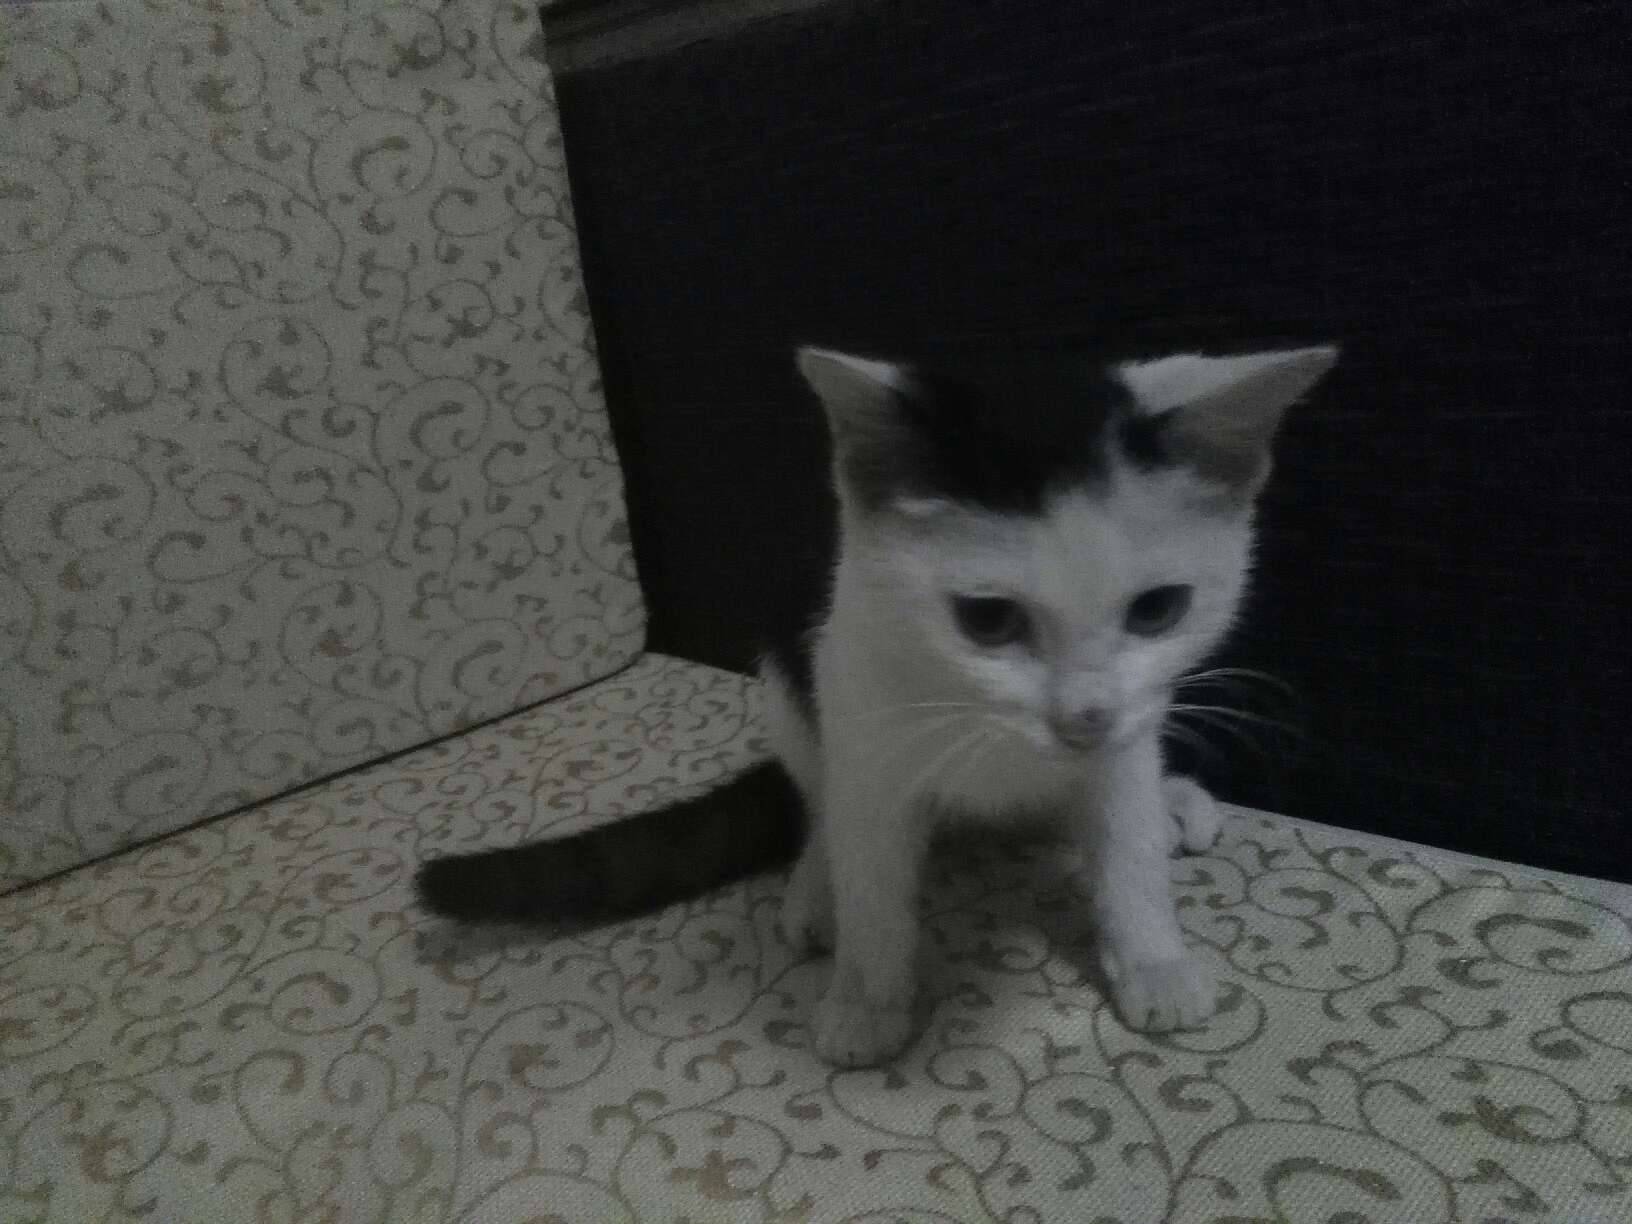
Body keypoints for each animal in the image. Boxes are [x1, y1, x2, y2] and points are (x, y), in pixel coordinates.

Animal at [416, 341, 1338, 1067]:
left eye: (1158, 611)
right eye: (987, 620)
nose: (1084, 718)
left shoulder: (1129, 731)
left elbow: (1126, 840)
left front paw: (1152, 959)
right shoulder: (857, 701)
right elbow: (873, 873)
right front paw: (866, 1001)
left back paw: (1171, 801)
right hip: (791, 673)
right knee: (823, 799)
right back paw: (815, 888)